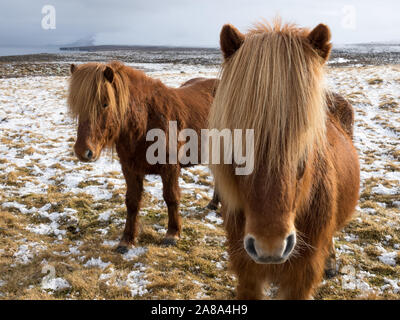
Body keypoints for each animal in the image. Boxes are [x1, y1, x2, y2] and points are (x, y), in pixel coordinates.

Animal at [68, 60, 219, 252]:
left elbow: (171, 198)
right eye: (78, 106)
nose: (83, 151)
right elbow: (132, 202)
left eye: (105, 104)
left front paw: (173, 233)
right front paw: (127, 240)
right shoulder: (130, 169)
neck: (146, 121)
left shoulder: (170, 169)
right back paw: (213, 204)